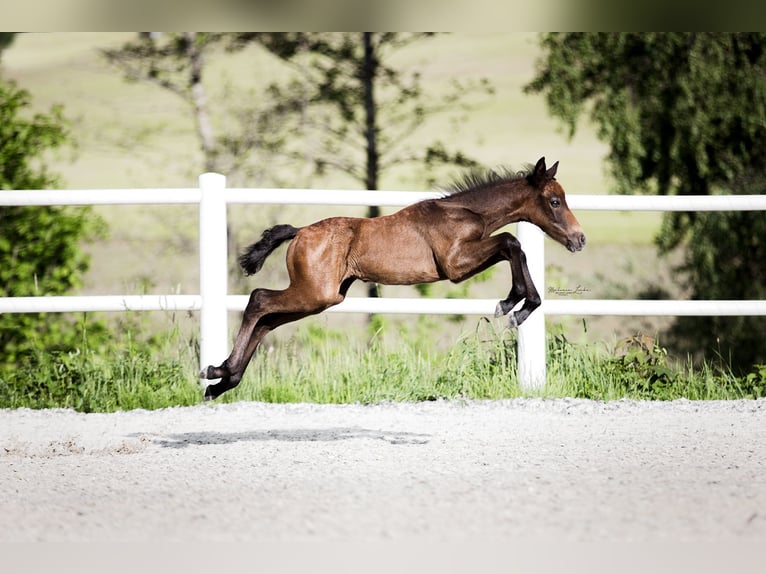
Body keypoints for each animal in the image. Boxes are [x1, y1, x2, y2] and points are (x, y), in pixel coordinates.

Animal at [201, 158, 584, 400]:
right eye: (554, 201)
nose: (579, 239)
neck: (463, 213)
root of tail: (299, 232)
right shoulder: (455, 266)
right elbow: (510, 242)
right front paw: (515, 305)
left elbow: (512, 246)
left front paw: (517, 305)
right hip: (313, 293)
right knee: (259, 300)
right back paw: (218, 373)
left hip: (321, 298)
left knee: (266, 320)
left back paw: (221, 380)